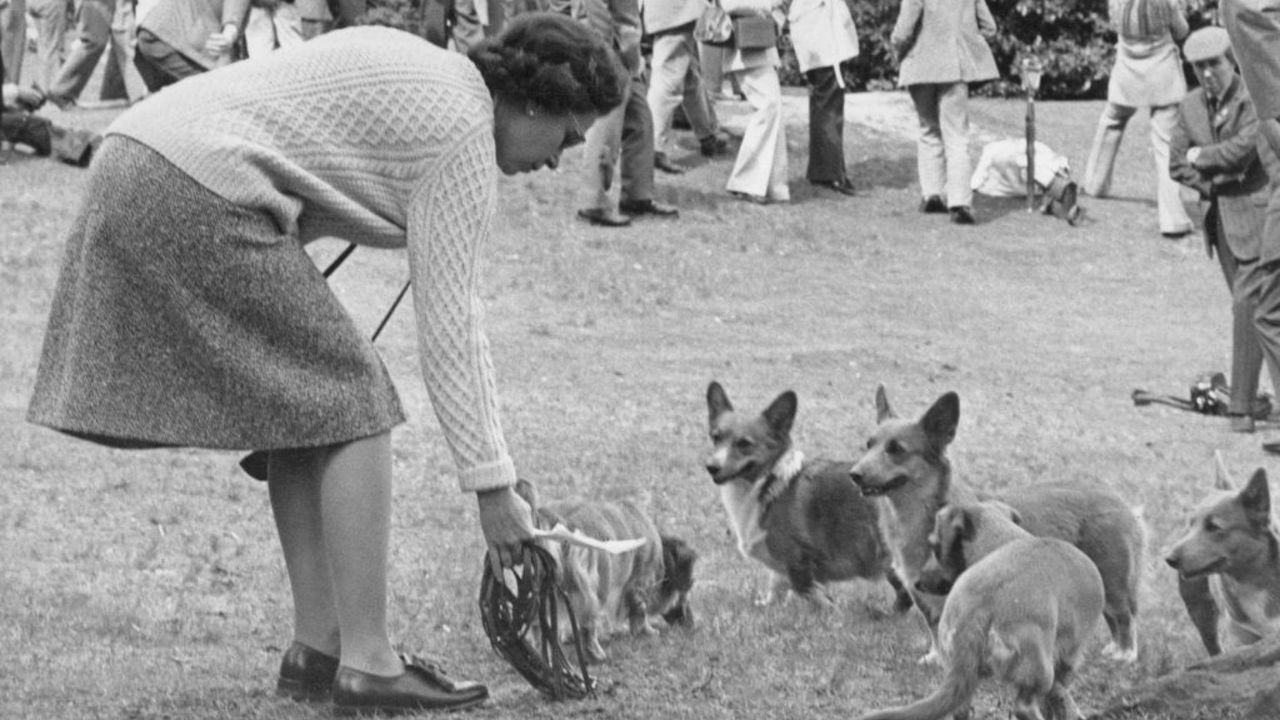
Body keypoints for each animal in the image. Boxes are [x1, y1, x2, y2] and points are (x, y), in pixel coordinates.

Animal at [512, 479, 701, 661]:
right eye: (690, 586)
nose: (692, 626)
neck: (662, 555)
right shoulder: (638, 586)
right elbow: (640, 612)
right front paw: (647, 631)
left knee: (538, 625)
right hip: (589, 589)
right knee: (588, 626)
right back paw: (597, 654)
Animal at [701, 379, 911, 607]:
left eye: (744, 444)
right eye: (715, 438)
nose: (711, 467)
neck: (767, 483)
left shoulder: (798, 563)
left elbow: (806, 590)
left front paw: (822, 608)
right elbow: (776, 584)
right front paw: (771, 605)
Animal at [855, 381, 1146, 661]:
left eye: (896, 449)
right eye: (869, 445)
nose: (854, 475)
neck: (913, 514)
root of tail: (1119, 500)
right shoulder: (922, 592)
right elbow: (935, 628)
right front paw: (935, 658)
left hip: (1112, 583)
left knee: (1124, 617)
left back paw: (1124, 655)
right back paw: (1112, 649)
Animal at [860, 502, 1111, 717]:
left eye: (935, 547)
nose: (917, 583)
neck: (1005, 540)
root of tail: (977, 610)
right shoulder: (1070, 656)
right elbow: (1061, 697)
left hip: (963, 678)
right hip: (1041, 671)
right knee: (1024, 706)